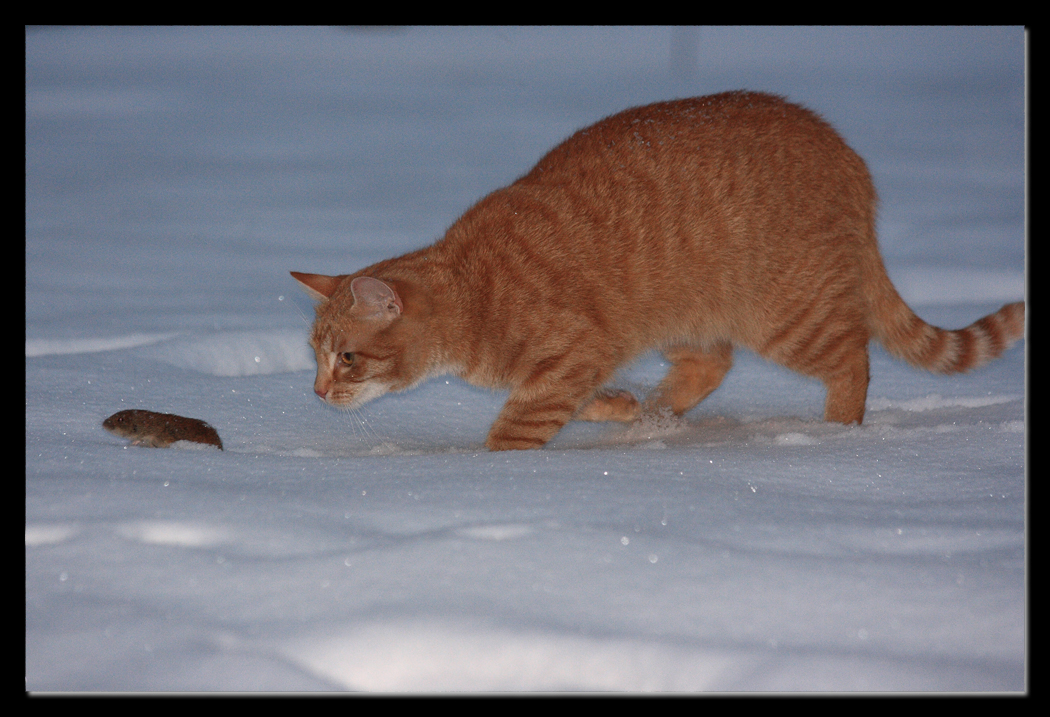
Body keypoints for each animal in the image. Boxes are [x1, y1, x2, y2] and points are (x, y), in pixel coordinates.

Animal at [296, 89, 1024, 449]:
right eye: (314, 356)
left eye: (347, 359)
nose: (317, 394)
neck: (473, 291)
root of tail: (850, 158)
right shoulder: (590, 354)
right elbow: (576, 396)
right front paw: (619, 406)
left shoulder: (572, 351)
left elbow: (516, 424)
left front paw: (500, 471)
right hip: (682, 311)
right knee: (711, 364)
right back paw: (652, 415)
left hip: (788, 315)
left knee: (852, 358)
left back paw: (835, 433)